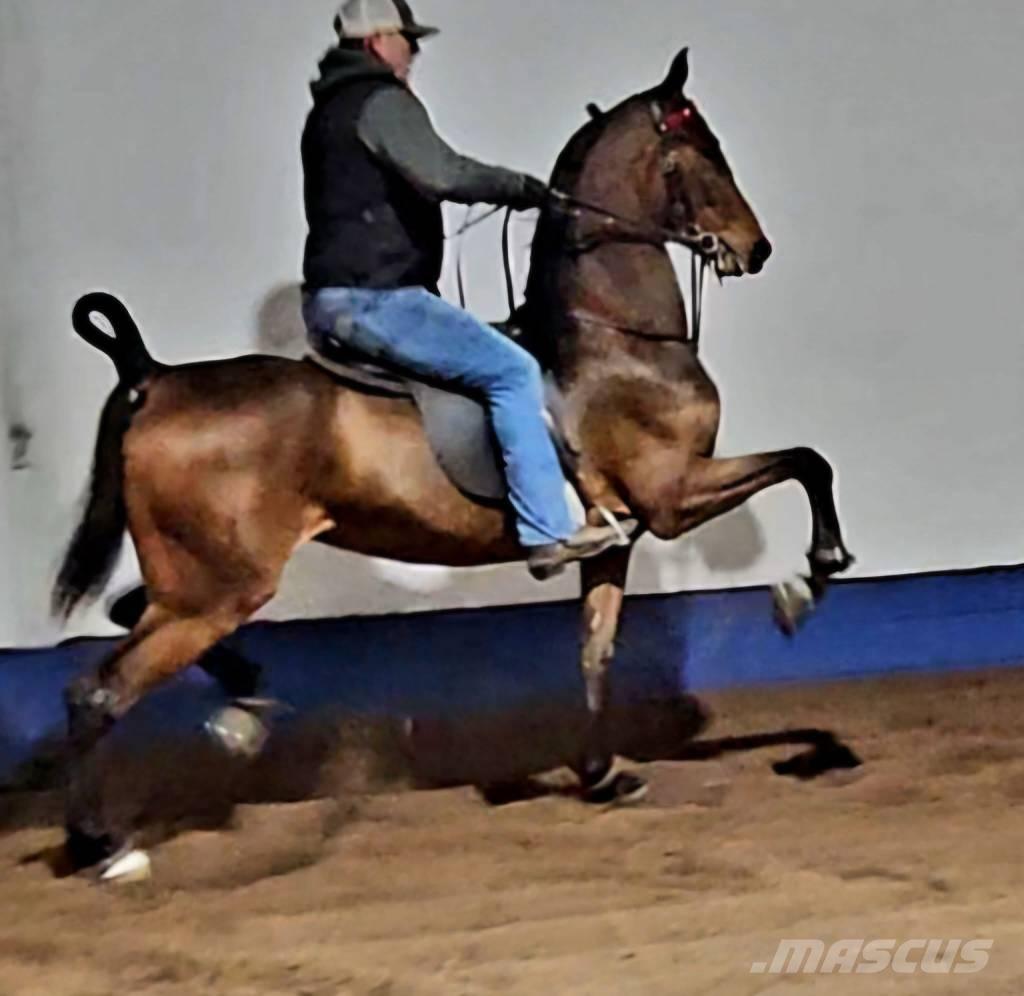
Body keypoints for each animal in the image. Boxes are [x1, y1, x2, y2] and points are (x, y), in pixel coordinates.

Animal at [53, 47, 853, 881]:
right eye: (704, 153)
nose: (755, 248)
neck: (615, 341)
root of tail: (153, 374)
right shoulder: (671, 496)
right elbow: (808, 462)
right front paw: (807, 581)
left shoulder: (621, 534)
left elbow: (595, 650)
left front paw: (601, 773)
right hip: (216, 590)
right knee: (98, 693)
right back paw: (103, 844)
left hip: (194, 581)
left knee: (124, 618)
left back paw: (243, 705)